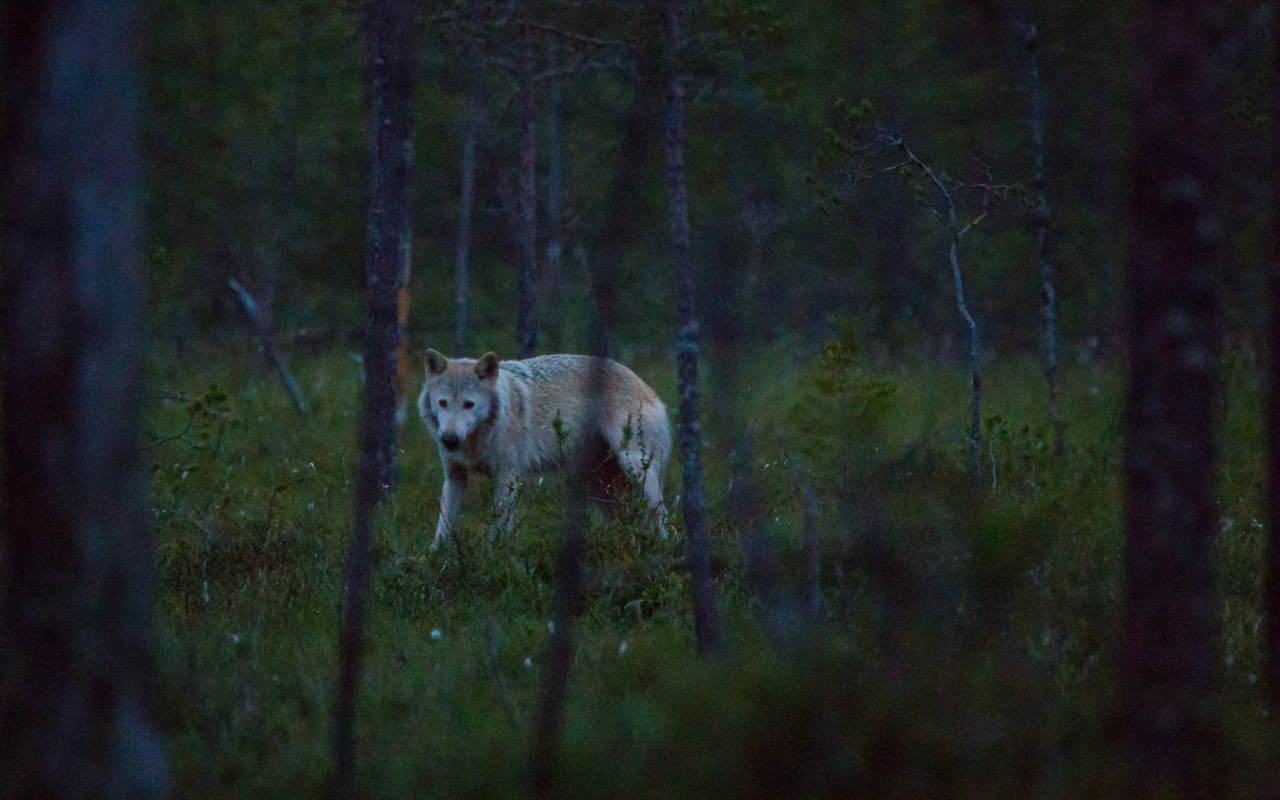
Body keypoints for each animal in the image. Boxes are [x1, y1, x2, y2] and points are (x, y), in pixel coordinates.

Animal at [419, 348, 675, 547]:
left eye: (468, 405)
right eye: (442, 403)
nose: (449, 439)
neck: (476, 441)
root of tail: (650, 390)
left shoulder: (507, 478)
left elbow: (499, 529)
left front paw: (494, 558)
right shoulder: (455, 477)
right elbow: (443, 526)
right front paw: (435, 560)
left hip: (635, 470)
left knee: (664, 520)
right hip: (601, 487)